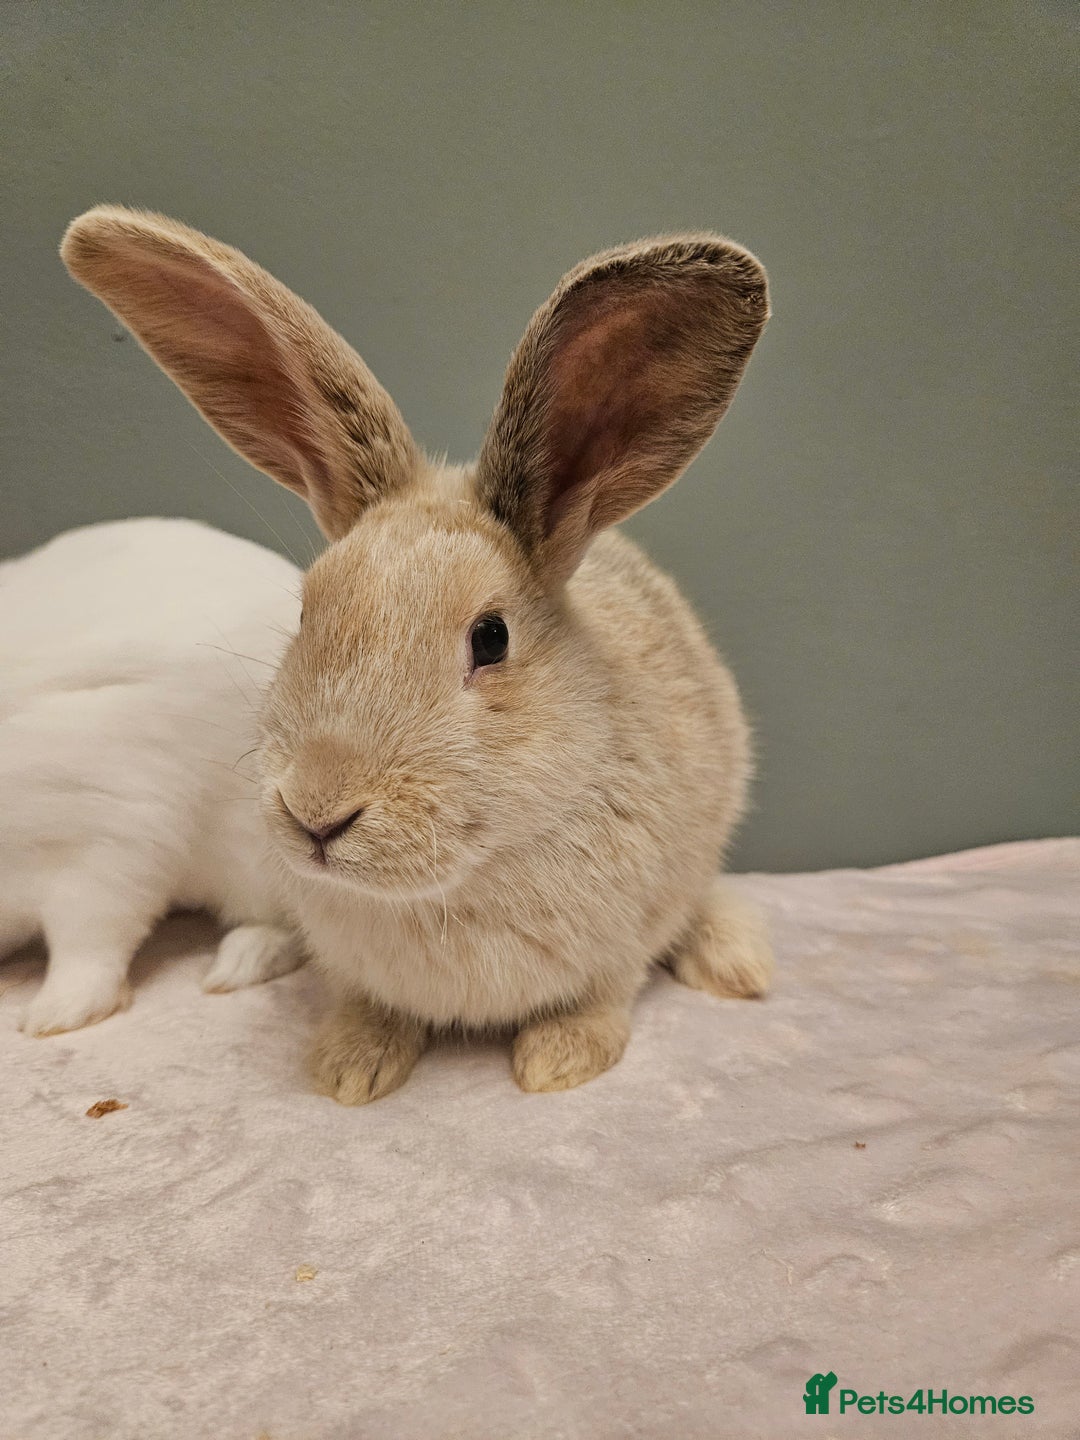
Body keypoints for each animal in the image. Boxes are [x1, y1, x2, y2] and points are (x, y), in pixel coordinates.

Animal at [60, 204, 775, 1099]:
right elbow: (371, 1007)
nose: (318, 813)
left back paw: (739, 965)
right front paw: (349, 1067)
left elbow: (604, 994)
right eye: (306, 611)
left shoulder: (626, 937)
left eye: (491, 637)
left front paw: (559, 1060)